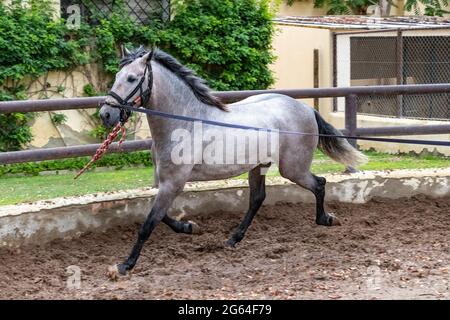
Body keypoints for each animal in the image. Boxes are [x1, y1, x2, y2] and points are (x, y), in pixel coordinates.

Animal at [98, 47, 366, 278]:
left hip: (293, 169)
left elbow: (149, 223)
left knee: (319, 183)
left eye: (132, 78)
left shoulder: (173, 182)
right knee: (258, 198)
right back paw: (233, 238)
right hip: (260, 166)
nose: (106, 115)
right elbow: (159, 216)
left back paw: (326, 219)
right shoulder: (164, 182)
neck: (184, 122)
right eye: (117, 76)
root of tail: (306, 109)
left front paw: (124, 266)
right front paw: (190, 227)